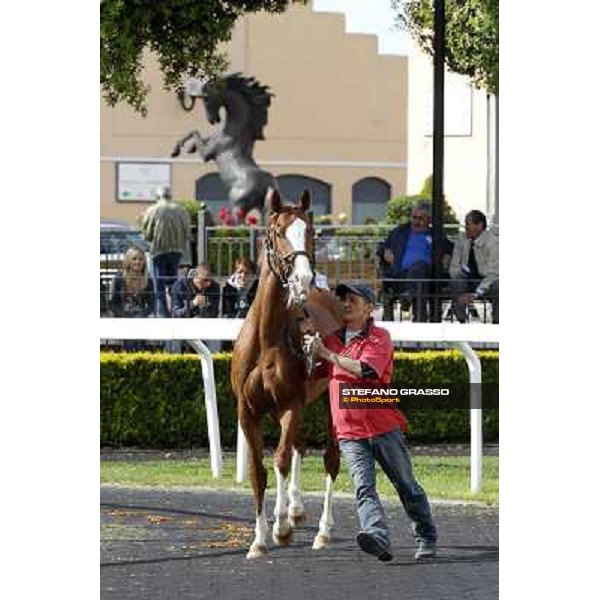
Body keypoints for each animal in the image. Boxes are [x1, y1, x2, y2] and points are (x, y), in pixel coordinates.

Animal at [231, 188, 342, 556]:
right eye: (277, 232)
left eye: (310, 231)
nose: (302, 279)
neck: (267, 339)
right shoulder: (247, 410)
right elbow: (258, 470)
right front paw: (259, 540)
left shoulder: (290, 404)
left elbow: (279, 458)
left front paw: (279, 528)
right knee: (301, 445)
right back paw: (295, 509)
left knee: (330, 457)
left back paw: (323, 531)